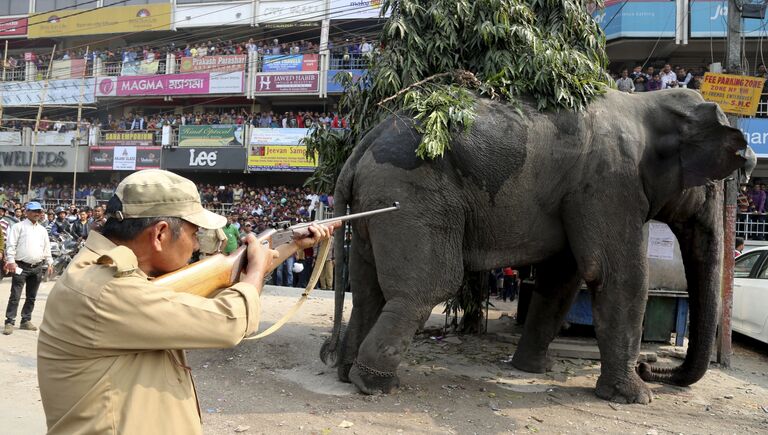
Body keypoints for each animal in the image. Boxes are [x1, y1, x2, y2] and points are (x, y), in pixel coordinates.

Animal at [320, 88, 756, 406]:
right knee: (428, 287)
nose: (652, 367)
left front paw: (536, 369)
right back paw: (375, 385)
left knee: (368, 286)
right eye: (715, 184)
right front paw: (637, 397)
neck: (646, 103)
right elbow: (616, 275)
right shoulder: (611, 182)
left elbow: (564, 277)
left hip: (375, 203)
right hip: (410, 195)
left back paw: (346, 372)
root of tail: (364, 142)